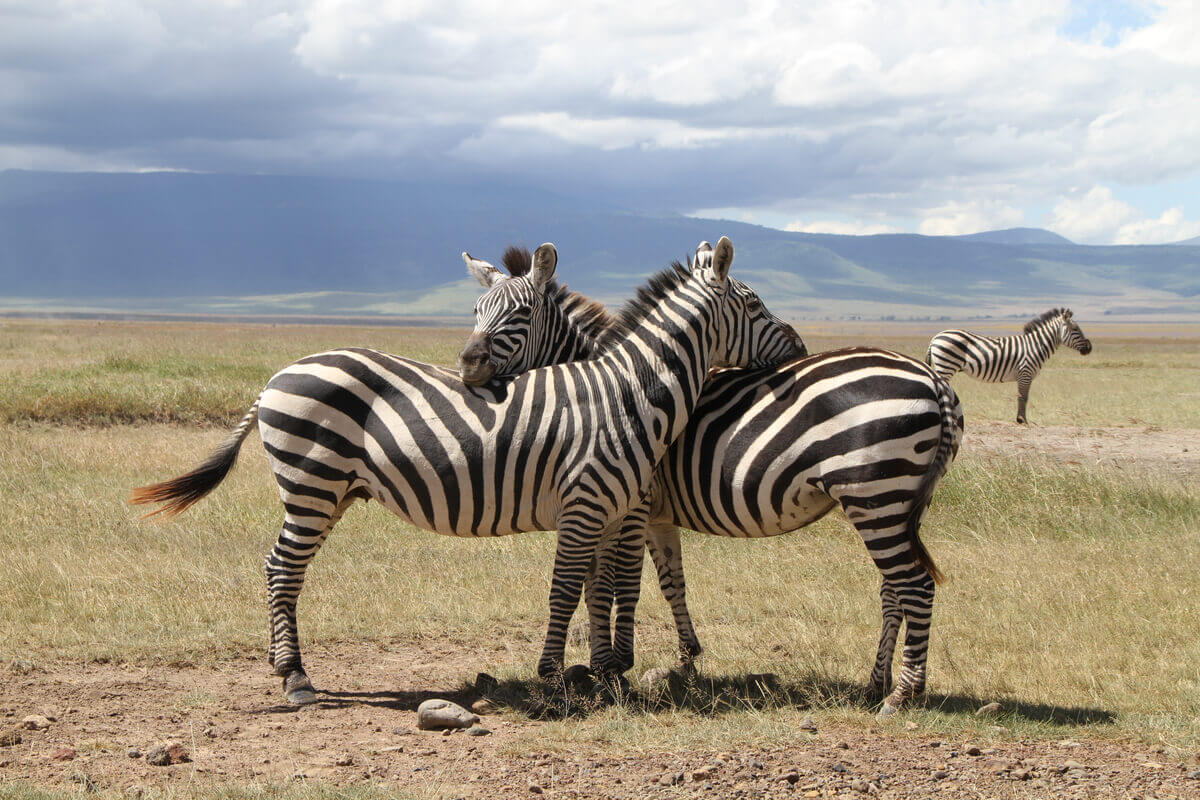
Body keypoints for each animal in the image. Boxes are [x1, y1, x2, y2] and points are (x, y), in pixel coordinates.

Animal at [133, 235, 806, 705]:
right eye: (754, 303)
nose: (801, 346)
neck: (627, 392)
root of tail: (277, 375)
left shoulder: (616, 509)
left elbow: (603, 588)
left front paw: (603, 673)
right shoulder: (590, 504)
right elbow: (573, 588)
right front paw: (559, 678)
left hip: (328, 490)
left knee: (283, 568)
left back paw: (288, 670)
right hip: (311, 486)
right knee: (281, 569)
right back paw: (294, 677)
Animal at [453, 248, 960, 714]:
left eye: (520, 314)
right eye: (475, 311)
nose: (468, 364)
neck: (610, 390)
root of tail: (932, 377)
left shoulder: (633, 504)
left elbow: (619, 583)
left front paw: (617, 666)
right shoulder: (651, 514)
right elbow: (667, 581)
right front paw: (683, 657)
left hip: (875, 494)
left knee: (915, 585)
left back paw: (902, 693)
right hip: (896, 502)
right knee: (894, 590)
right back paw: (876, 683)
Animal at [921, 304, 1094, 422]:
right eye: (1075, 329)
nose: (1089, 348)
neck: (1036, 345)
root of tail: (935, 337)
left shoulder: (1024, 376)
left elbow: (1021, 397)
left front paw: (1021, 419)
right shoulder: (1025, 373)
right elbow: (1023, 397)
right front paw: (1022, 420)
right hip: (946, 365)